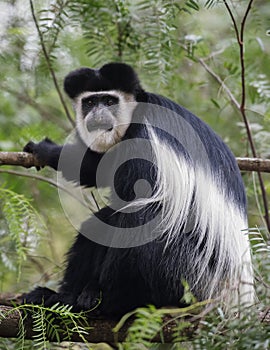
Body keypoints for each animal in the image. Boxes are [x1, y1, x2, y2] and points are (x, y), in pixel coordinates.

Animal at [22, 62, 253, 314]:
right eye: (90, 102)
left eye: (109, 101)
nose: (97, 115)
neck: (136, 114)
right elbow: (99, 169)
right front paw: (46, 150)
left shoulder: (144, 139)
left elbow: (133, 200)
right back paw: (59, 297)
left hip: (191, 275)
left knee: (143, 218)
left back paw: (106, 300)